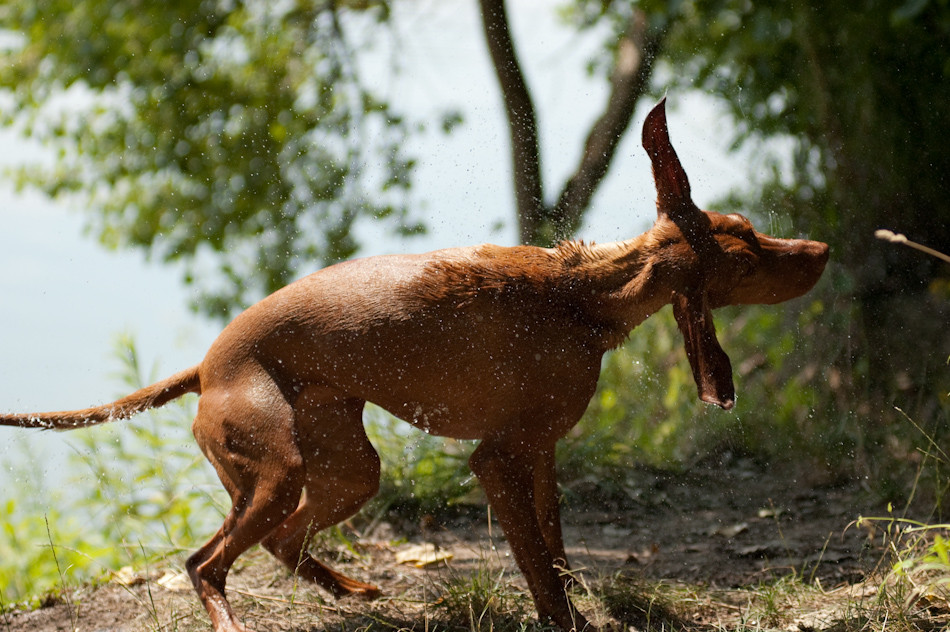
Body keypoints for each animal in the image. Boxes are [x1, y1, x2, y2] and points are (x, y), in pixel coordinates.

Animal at [1, 100, 824, 632]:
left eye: (750, 229)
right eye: (748, 254)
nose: (820, 250)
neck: (583, 296)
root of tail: (205, 366)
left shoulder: (541, 455)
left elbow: (556, 550)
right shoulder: (497, 459)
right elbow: (539, 570)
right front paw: (565, 620)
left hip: (342, 469)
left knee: (278, 542)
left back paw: (352, 591)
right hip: (280, 469)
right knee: (206, 562)